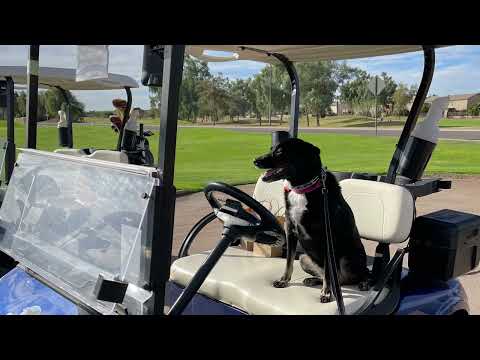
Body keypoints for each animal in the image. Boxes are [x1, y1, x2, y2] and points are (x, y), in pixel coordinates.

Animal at [253, 139, 370, 302]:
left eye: (280, 152)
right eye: (271, 148)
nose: (255, 160)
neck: (302, 188)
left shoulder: (327, 239)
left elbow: (328, 273)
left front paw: (326, 293)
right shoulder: (291, 232)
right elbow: (288, 262)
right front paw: (283, 281)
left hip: (348, 259)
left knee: (363, 274)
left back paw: (363, 283)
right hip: (304, 258)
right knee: (338, 279)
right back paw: (313, 280)